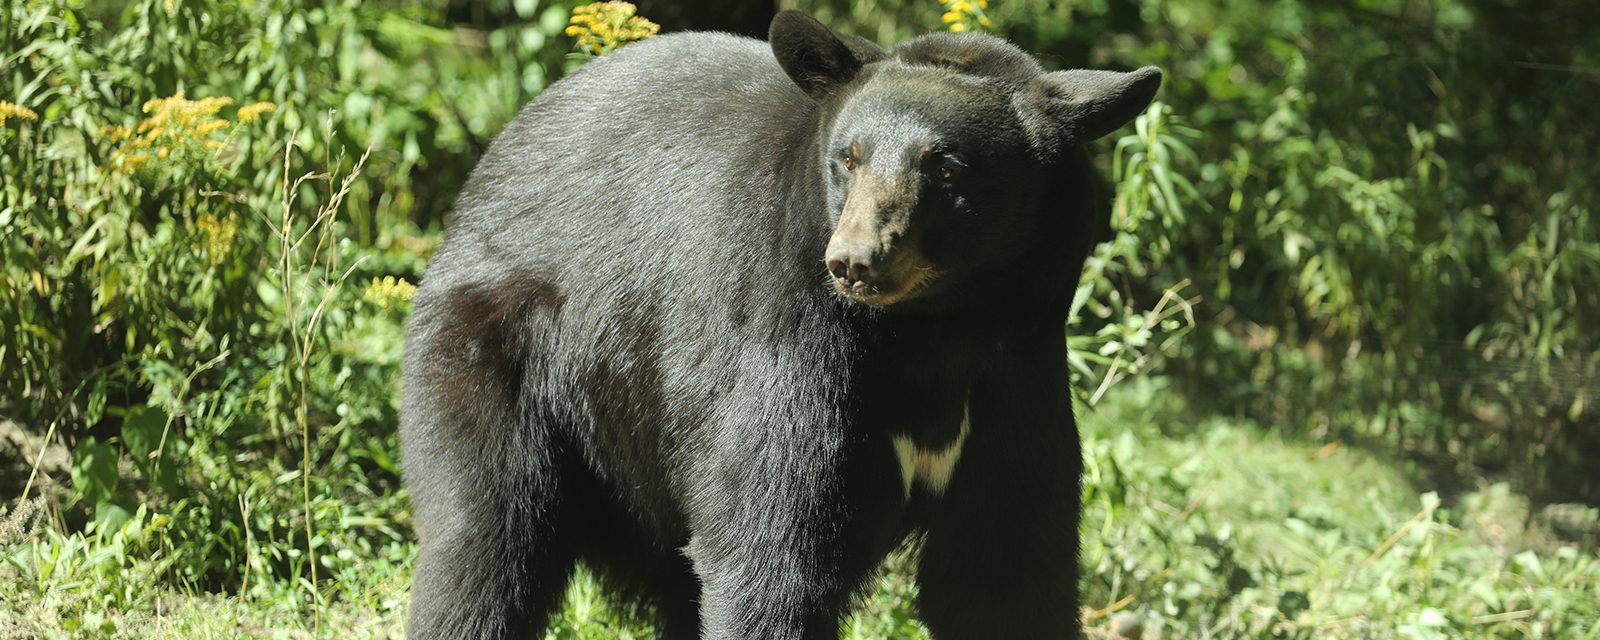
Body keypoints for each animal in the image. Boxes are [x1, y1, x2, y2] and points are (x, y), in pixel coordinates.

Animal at [398, 10, 1152, 640]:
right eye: (848, 157)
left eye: (944, 166)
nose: (854, 260)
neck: (933, 332)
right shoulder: (789, 351)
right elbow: (771, 551)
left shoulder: (1017, 373)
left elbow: (1004, 570)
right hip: (497, 354)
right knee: (484, 543)